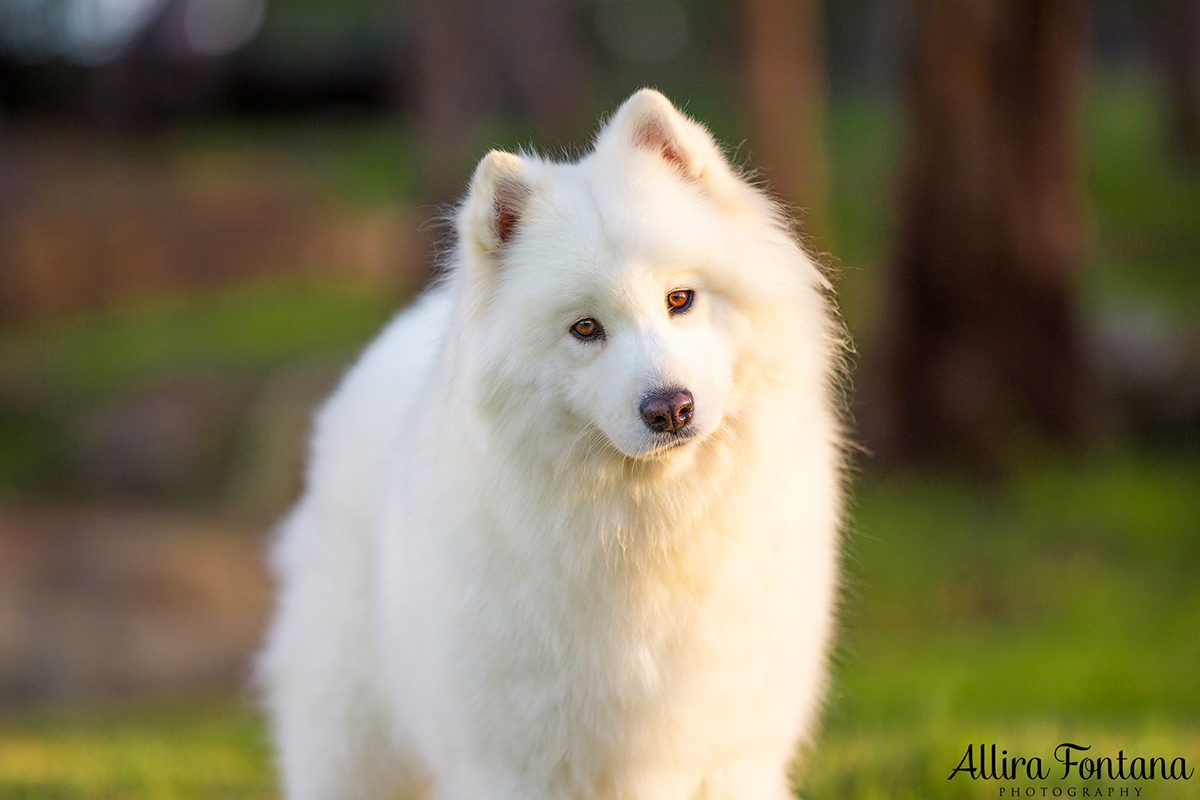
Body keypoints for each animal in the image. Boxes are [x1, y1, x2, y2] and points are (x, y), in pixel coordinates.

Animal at [260, 89, 844, 800]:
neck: (644, 533)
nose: (670, 409)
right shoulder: (515, 765)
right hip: (351, 741)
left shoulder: (731, 756)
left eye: (680, 298)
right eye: (585, 328)